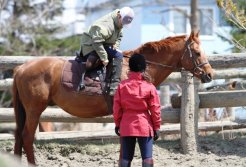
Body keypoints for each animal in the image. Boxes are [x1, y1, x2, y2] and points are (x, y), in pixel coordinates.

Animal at [13, 30, 213, 164]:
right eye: (197, 53)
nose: (210, 74)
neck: (135, 69)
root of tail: (21, 68)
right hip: (34, 110)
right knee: (27, 137)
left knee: (18, 136)